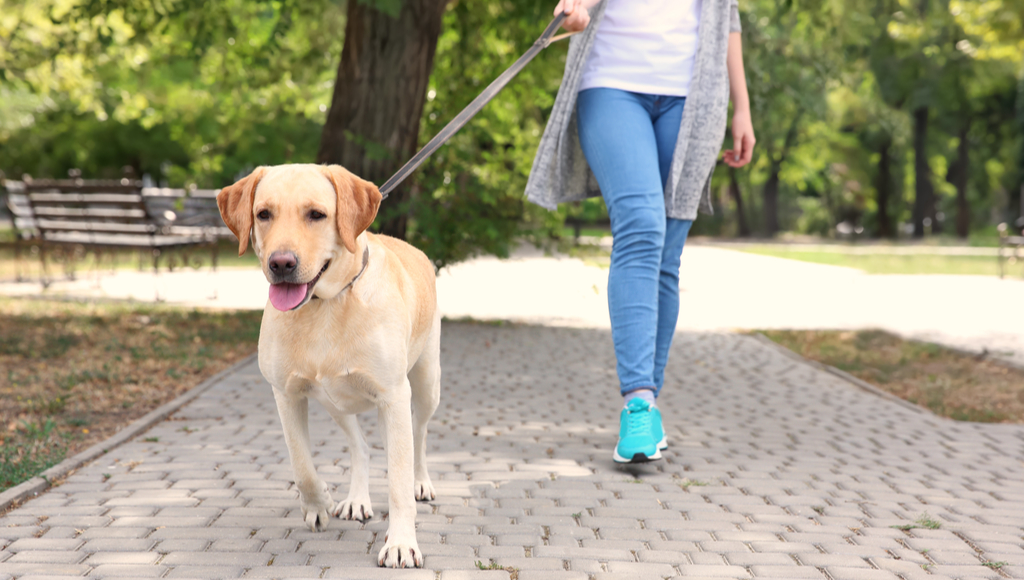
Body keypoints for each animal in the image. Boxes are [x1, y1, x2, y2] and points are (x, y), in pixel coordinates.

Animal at [216, 163, 440, 569]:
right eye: (263, 214)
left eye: (316, 214)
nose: (281, 263)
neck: (325, 305)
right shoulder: (286, 394)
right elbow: (301, 463)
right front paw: (318, 501)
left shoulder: (393, 396)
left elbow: (398, 480)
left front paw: (401, 542)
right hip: (335, 402)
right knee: (361, 445)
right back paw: (356, 499)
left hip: (426, 384)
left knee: (418, 435)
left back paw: (421, 482)